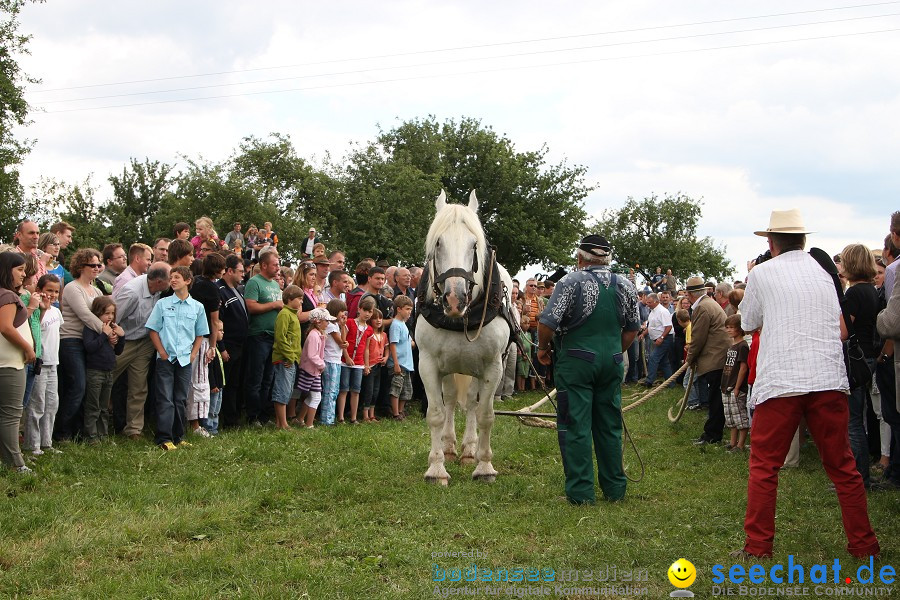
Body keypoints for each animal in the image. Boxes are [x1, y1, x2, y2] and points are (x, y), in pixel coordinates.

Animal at [416, 190, 512, 486]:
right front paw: (436, 468)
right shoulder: (428, 364)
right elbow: (436, 414)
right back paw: (449, 447)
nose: (454, 299)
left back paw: (469, 449)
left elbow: (485, 415)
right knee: (449, 401)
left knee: (470, 403)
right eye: (438, 243)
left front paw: (484, 466)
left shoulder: (493, 366)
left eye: (474, 245)